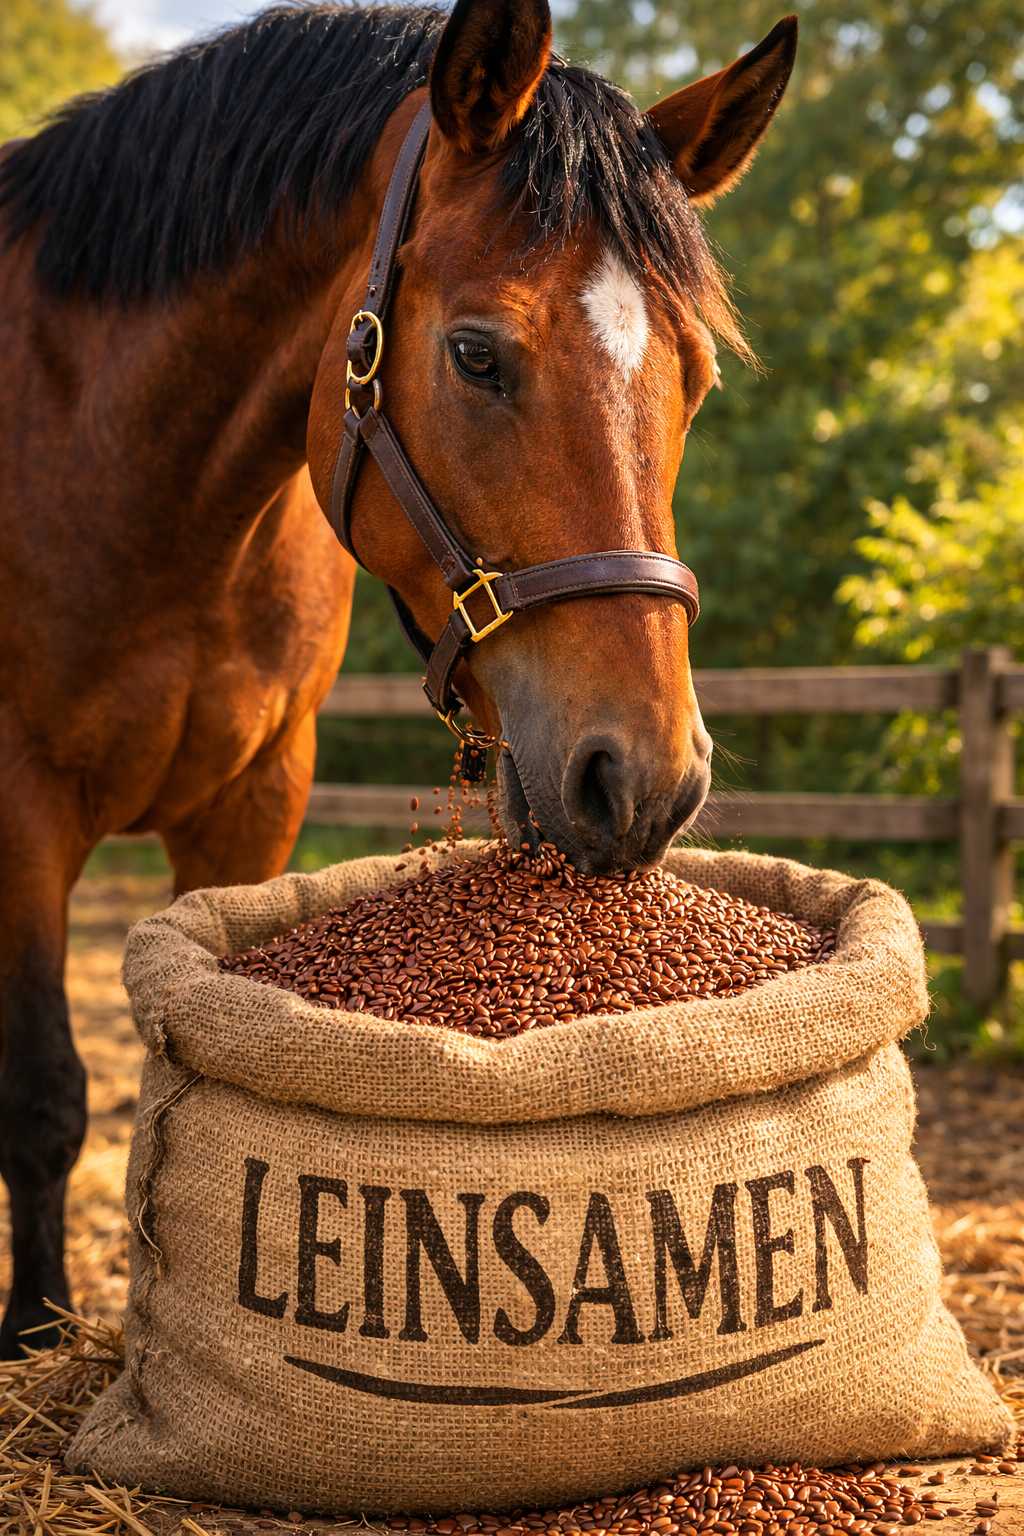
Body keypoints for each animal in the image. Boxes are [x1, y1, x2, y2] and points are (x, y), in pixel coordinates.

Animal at [0, 0, 795, 1354]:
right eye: (476, 355)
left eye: (693, 374)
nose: (644, 779)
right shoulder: (20, 809)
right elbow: (43, 1102)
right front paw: (35, 1334)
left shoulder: (253, 805)